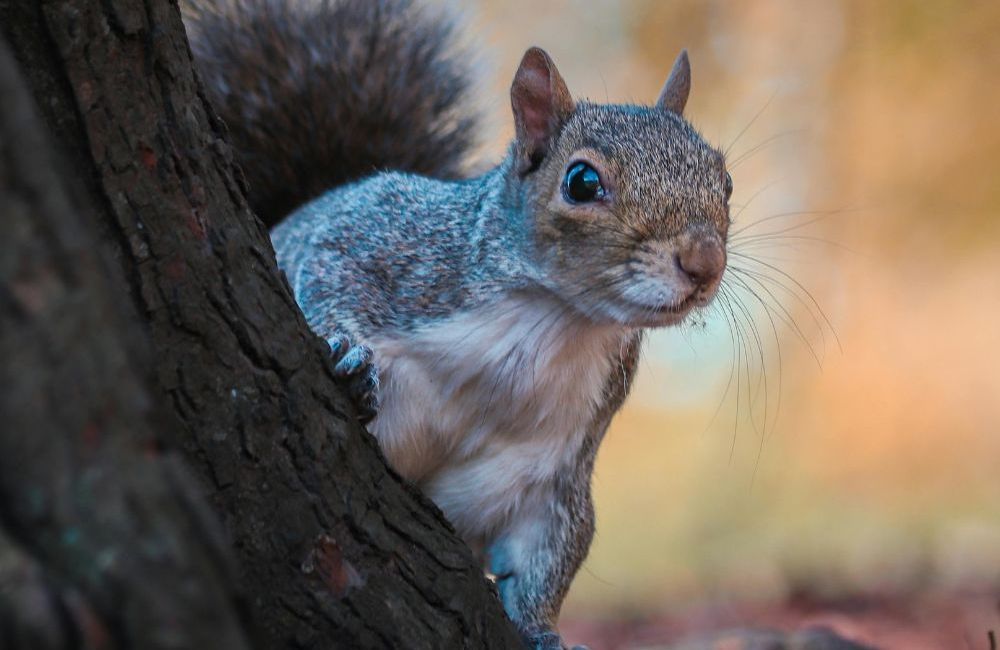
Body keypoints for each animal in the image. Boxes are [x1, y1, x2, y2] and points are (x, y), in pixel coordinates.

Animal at [185, 1, 731, 647]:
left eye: (724, 181)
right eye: (582, 182)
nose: (705, 263)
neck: (552, 320)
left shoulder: (556, 473)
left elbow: (550, 552)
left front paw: (541, 630)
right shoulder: (371, 240)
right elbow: (324, 280)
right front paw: (346, 357)